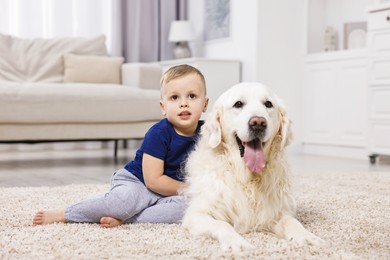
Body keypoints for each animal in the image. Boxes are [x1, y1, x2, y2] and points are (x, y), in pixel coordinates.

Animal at [182, 82, 322, 251]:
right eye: (238, 104)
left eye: (268, 104)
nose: (258, 123)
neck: (248, 178)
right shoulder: (197, 214)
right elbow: (222, 225)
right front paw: (236, 242)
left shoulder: (273, 213)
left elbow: (291, 221)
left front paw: (306, 236)